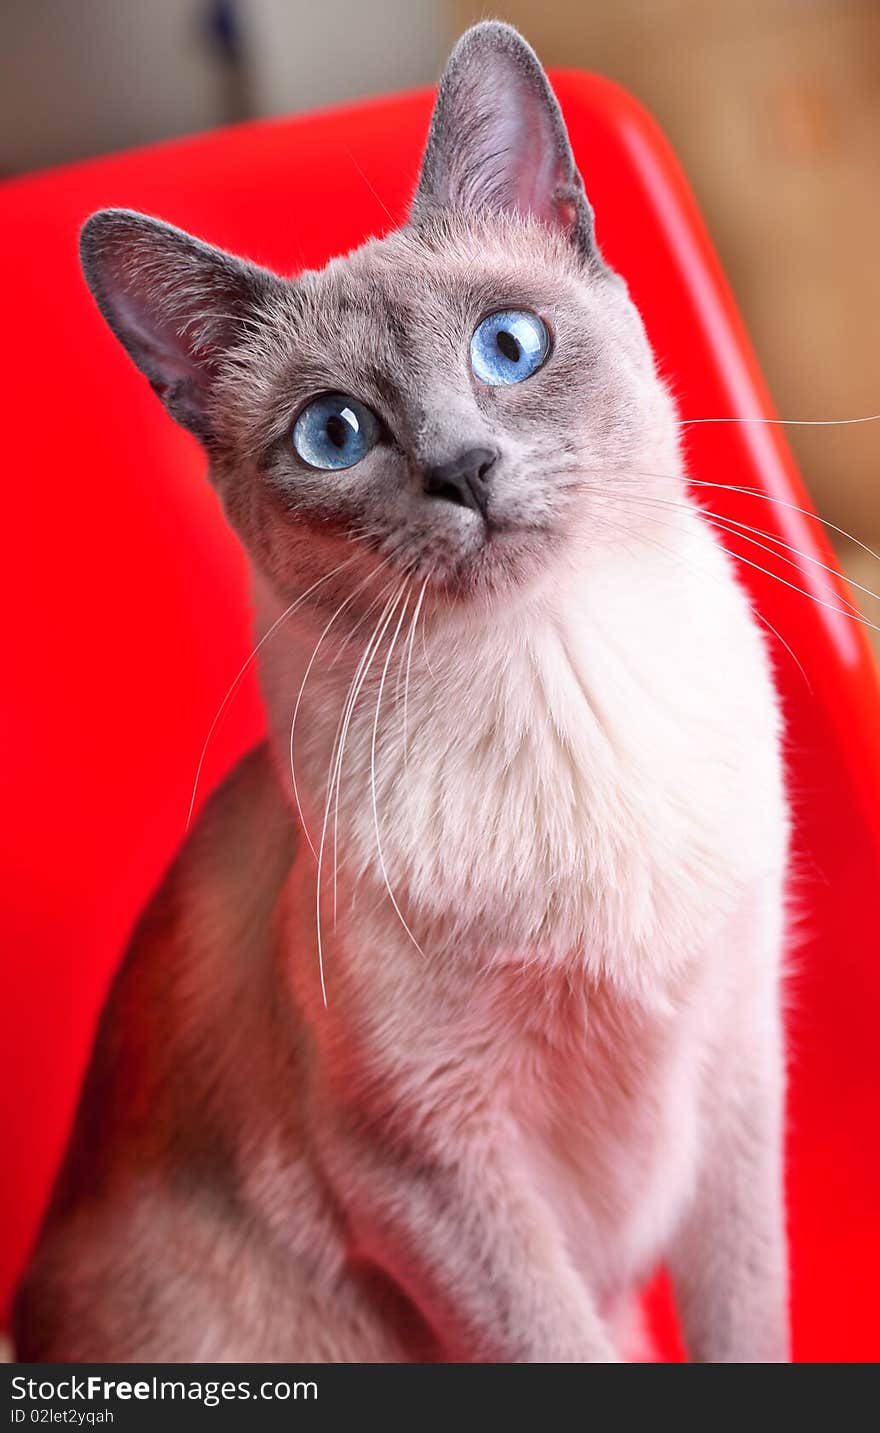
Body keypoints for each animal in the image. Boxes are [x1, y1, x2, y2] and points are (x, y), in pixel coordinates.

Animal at [10, 25, 791, 1364]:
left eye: (509, 347)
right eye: (334, 433)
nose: (464, 469)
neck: (553, 682)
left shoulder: (737, 1078)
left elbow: (749, 1326)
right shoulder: (428, 1168)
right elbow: (551, 1345)